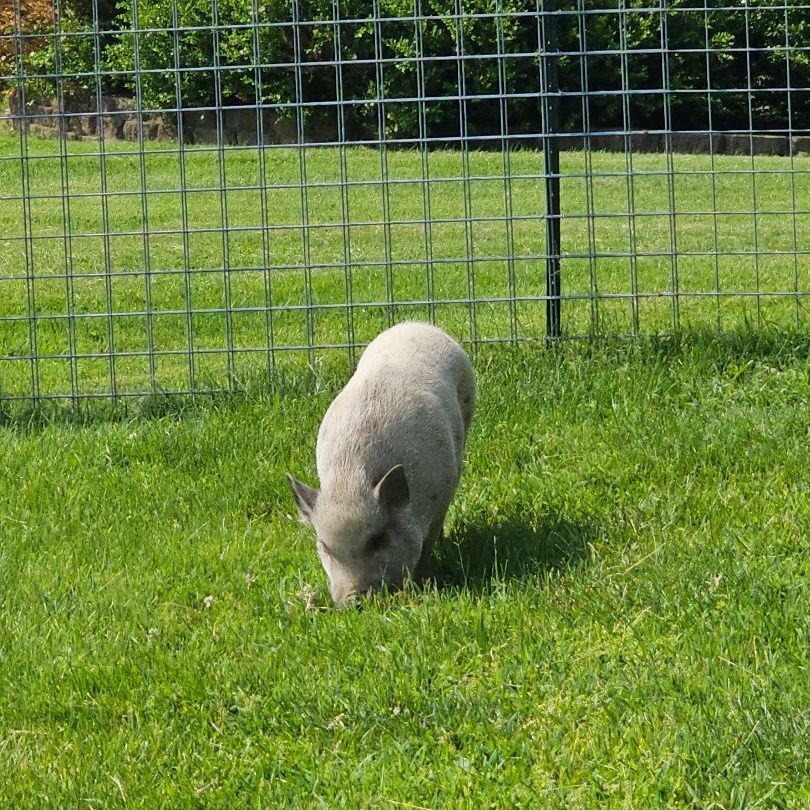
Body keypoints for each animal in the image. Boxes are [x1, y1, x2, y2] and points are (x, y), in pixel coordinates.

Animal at [286, 321, 475, 605]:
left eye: (378, 539)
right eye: (325, 547)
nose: (352, 599)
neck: (351, 478)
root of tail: (416, 325)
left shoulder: (440, 495)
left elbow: (427, 543)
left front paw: (422, 582)